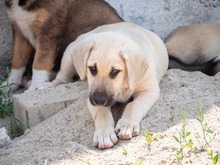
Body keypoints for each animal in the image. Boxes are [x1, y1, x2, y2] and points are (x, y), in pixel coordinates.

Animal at [46, 22, 168, 150]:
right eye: (92, 68)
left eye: (115, 71)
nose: (99, 100)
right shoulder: (91, 97)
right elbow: (102, 112)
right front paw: (104, 135)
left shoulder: (149, 90)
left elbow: (134, 105)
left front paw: (127, 124)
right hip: (69, 57)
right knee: (62, 77)